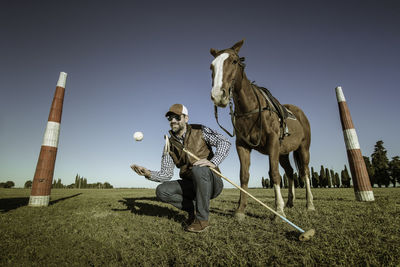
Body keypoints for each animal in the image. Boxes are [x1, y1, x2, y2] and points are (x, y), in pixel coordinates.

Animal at [209, 39, 316, 220]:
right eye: (212, 66)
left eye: (234, 61)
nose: (218, 95)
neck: (251, 109)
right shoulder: (242, 146)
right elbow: (244, 176)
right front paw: (240, 210)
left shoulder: (272, 143)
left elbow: (274, 174)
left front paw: (278, 211)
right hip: (283, 153)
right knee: (290, 172)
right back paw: (290, 202)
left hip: (303, 148)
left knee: (304, 172)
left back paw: (309, 205)